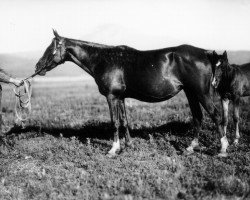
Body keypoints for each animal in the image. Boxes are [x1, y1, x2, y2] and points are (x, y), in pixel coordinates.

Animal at [35, 30, 225, 156]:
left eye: (50, 48)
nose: (37, 67)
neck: (104, 60)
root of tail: (206, 53)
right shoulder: (121, 97)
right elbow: (124, 121)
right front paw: (129, 145)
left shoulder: (112, 97)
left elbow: (115, 123)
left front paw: (113, 149)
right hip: (191, 93)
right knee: (198, 117)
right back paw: (190, 147)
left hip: (201, 93)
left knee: (216, 115)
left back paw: (222, 149)